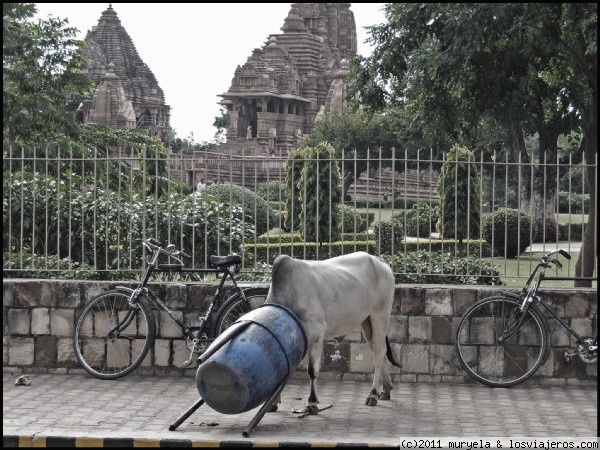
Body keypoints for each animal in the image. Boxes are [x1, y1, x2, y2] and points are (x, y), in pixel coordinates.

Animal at [266, 251, 398, 414]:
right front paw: (273, 403)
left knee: (379, 353)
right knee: (380, 350)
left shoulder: (316, 333)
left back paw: (373, 395)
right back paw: (386, 390)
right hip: (366, 323)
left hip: (380, 316)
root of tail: (382, 263)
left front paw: (312, 403)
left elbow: (312, 370)